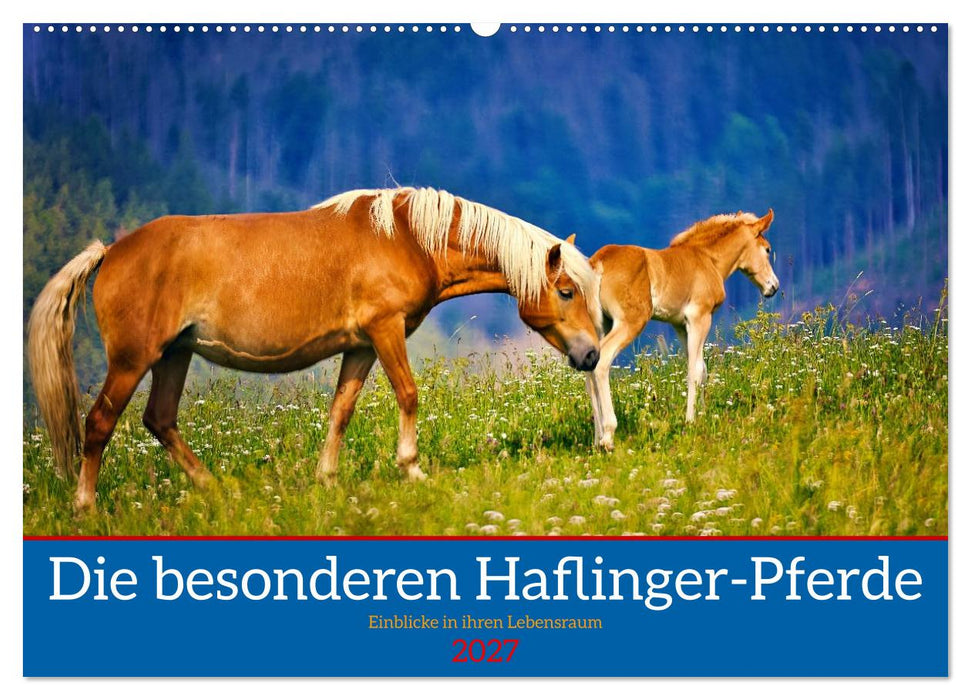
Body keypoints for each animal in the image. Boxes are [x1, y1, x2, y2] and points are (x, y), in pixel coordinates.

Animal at [27, 186, 603, 510]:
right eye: (566, 291)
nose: (592, 356)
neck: (407, 236)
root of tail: (111, 250)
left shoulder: (362, 346)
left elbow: (341, 411)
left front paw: (326, 479)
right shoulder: (386, 331)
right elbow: (409, 395)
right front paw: (412, 469)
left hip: (174, 354)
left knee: (160, 420)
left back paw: (216, 489)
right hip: (133, 360)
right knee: (100, 423)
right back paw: (85, 507)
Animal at [585, 209, 778, 450]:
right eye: (767, 249)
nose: (773, 286)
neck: (707, 259)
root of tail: (598, 262)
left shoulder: (679, 324)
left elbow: (702, 368)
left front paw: (704, 415)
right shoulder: (699, 317)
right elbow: (694, 371)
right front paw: (691, 421)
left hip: (601, 323)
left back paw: (596, 438)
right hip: (630, 322)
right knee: (602, 361)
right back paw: (608, 436)